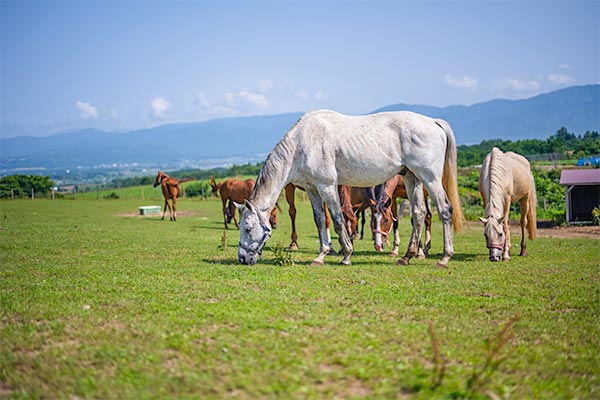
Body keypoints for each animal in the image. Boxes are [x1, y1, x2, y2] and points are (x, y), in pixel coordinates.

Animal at [237, 108, 466, 268]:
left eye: (247, 228)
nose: (242, 258)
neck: (302, 144)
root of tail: (433, 122)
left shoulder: (327, 186)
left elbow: (338, 220)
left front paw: (346, 255)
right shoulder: (312, 189)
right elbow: (320, 221)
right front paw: (321, 255)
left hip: (430, 178)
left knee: (445, 210)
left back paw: (444, 258)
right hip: (413, 178)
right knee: (418, 214)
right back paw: (406, 257)